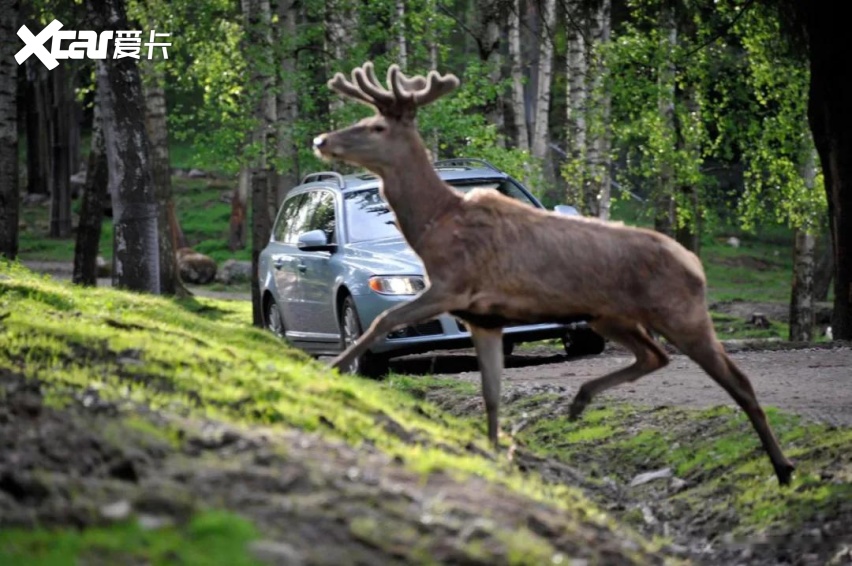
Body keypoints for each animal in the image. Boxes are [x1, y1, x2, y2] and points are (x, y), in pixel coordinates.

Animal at [312, 63, 800, 488]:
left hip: (680, 311)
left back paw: (783, 468)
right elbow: (491, 393)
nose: (321, 139)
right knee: (655, 356)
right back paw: (579, 402)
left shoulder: (453, 285)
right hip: (610, 316)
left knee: (738, 381)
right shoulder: (484, 317)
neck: (435, 227)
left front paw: (332, 369)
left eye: (375, 126)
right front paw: (495, 452)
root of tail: (695, 265)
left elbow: (384, 319)